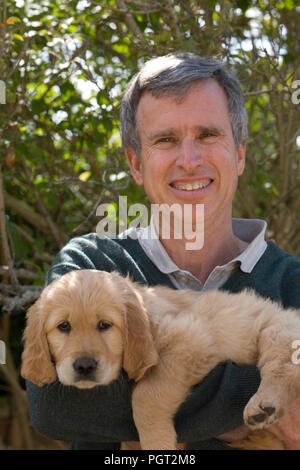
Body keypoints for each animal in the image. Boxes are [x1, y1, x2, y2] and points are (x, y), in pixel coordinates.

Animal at [21, 268, 300, 448]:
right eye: (63, 326)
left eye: (104, 325)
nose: (85, 366)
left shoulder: (192, 338)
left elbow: (146, 396)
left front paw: (158, 442)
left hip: (277, 330)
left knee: (283, 366)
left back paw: (263, 406)